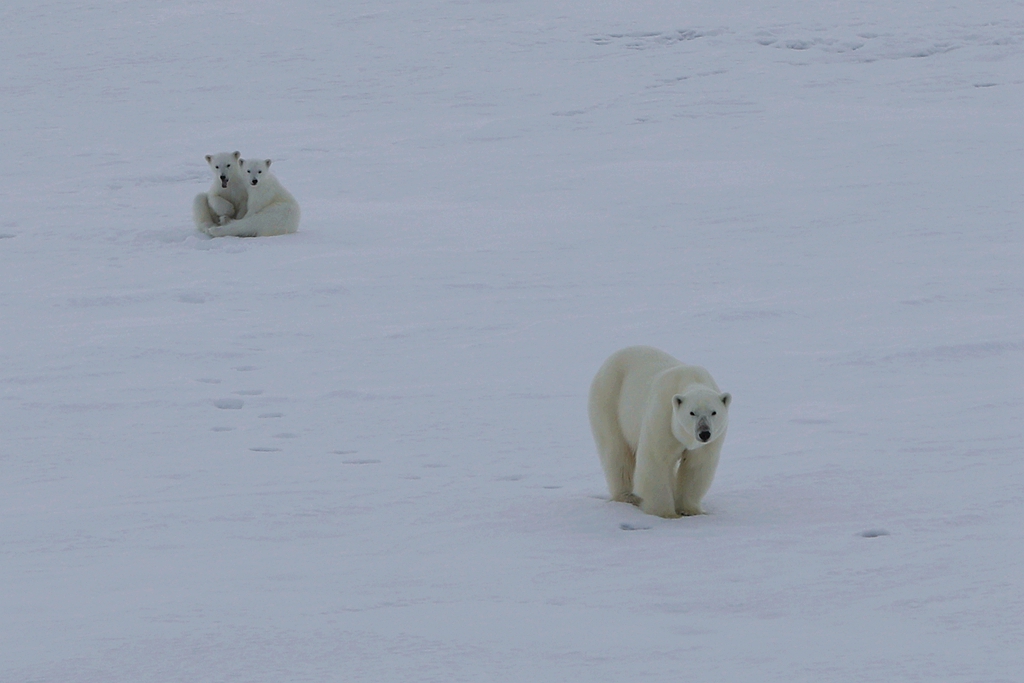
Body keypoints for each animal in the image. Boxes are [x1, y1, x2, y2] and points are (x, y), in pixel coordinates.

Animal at [589, 348, 733, 518]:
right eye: (692, 413)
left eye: (714, 412)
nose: (704, 433)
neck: (690, 378)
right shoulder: (663, 417)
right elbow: (656, 461)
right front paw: (666, 513)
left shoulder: (708, 442)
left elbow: (696, 465)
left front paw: (690, 510)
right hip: (609, 401)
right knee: (617, 450)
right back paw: (628, 496)